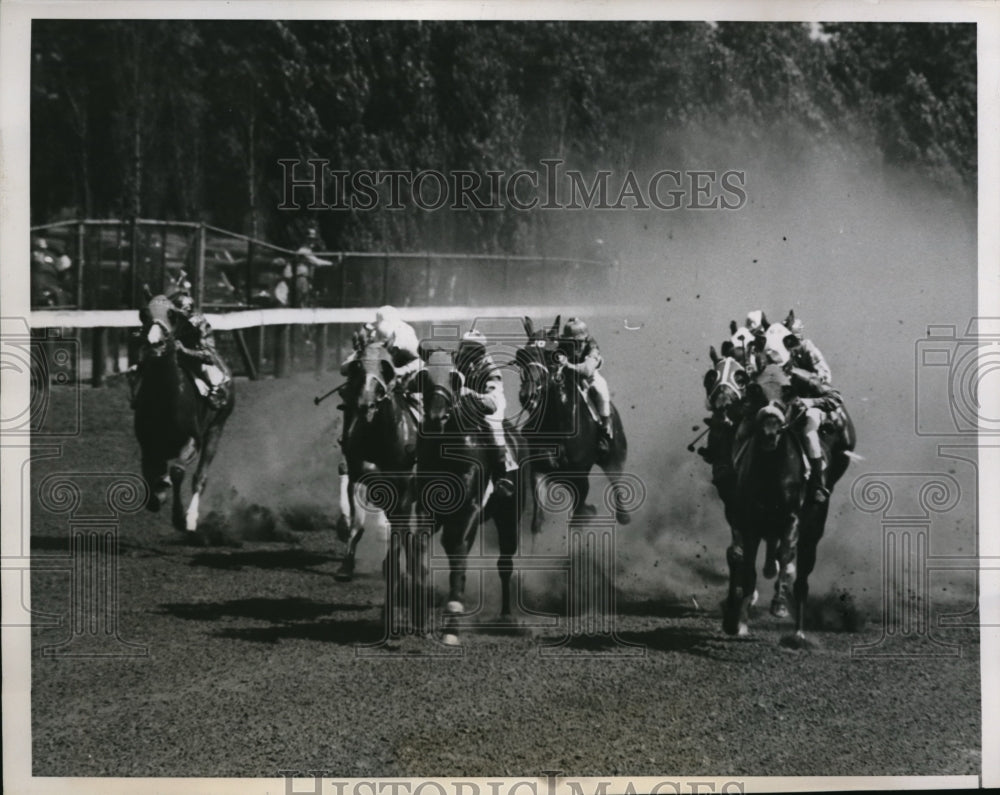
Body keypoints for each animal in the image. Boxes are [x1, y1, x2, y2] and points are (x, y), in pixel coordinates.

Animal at [134, 296, 233, 532]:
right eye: (143, 313)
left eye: (172, 315)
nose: (155, 343)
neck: (165, 401)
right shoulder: (148, 442)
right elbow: (149, 470)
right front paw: (158, 494)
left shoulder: (192, 439)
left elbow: (178, 470)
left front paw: (179, 517)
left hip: (217, 427)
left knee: (200, 477)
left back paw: (191, 518)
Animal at [414, 350, 524, 648]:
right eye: (423, 377)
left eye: (455, 378)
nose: (436, 417)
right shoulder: (425, 509)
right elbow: (420, 547)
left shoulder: (469, 509)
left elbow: (458, 549)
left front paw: (452, 623)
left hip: (509, 515)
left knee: (505, 563)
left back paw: (506, 616)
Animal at [520, 314, 628, 532]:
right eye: (522, 356)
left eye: (550, 355)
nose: (528, 395)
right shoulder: (540, 470)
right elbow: (537, 522)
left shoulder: (579, 476)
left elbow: (578, 515)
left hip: (614, 456)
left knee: (616, 481)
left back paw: (623, 515)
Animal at [724, 364, 856, 644]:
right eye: (754, 388)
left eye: (787, 390)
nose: (770, 430)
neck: (772, 471)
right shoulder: (750, 521)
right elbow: (747, 567)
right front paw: (737, 622)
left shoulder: (792, 517)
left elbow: (786, 555)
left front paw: (779, 605)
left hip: (812, 534)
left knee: (802, 579)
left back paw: (798, 633)